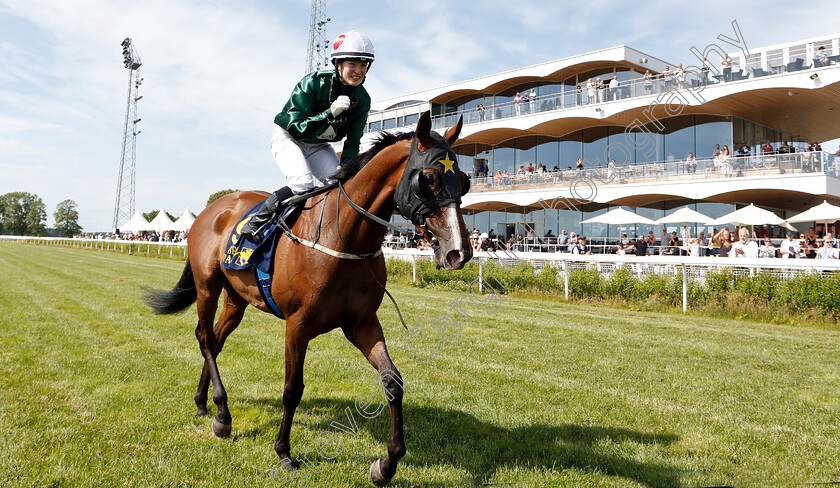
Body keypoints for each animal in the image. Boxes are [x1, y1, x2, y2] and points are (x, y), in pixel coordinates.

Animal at [144, 112, 472, 486]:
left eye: (464, 181)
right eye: (429, 178)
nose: (459, 252)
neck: (343, 236)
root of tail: (213, 207)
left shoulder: (362, 323)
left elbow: (393, 382)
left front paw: (387, 464)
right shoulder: (297, 324)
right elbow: (292, 388)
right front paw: (284, 452)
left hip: (236, 299)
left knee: (214, 339)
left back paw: (203, 403)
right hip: (207, 287)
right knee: (204, 338)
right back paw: (222, 414)